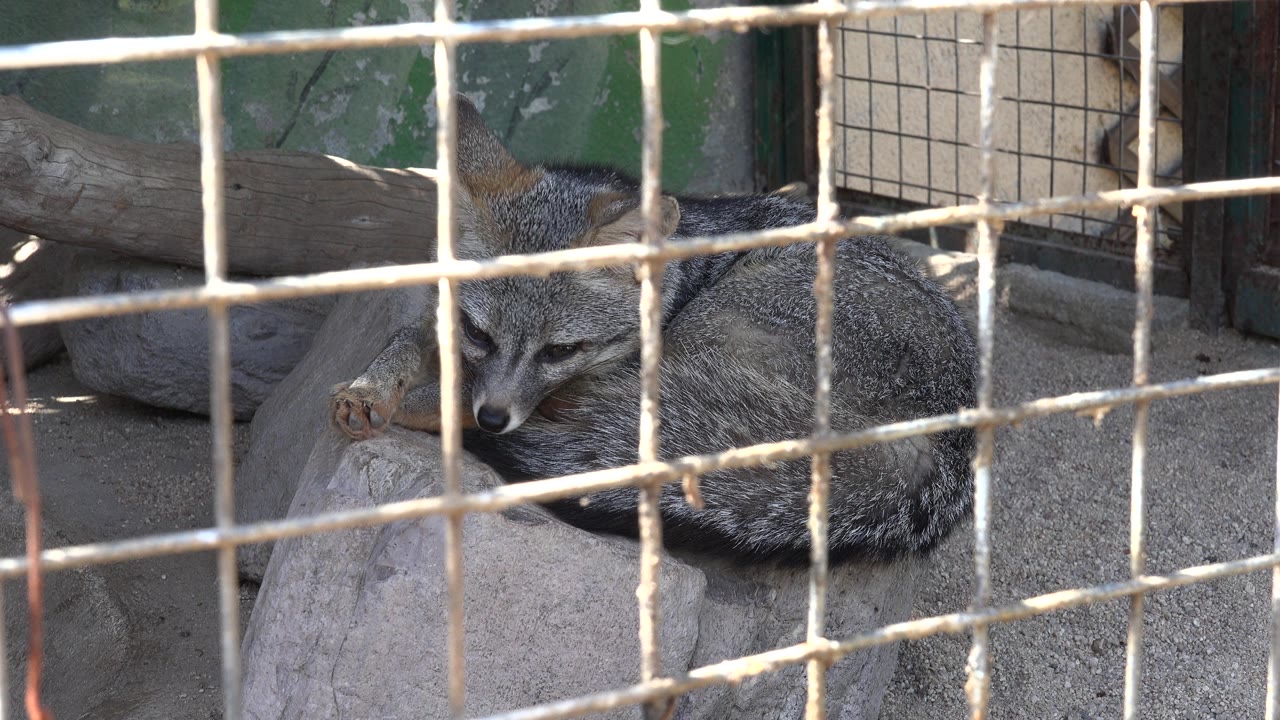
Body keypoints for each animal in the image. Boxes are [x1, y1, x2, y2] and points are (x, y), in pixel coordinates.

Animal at [330, 94, 979, 563]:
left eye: (561, 349)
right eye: (480, 333)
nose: (493, 418)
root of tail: (946, 439)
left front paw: (424, 402)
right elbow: (409, 339)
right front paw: (370, 388)